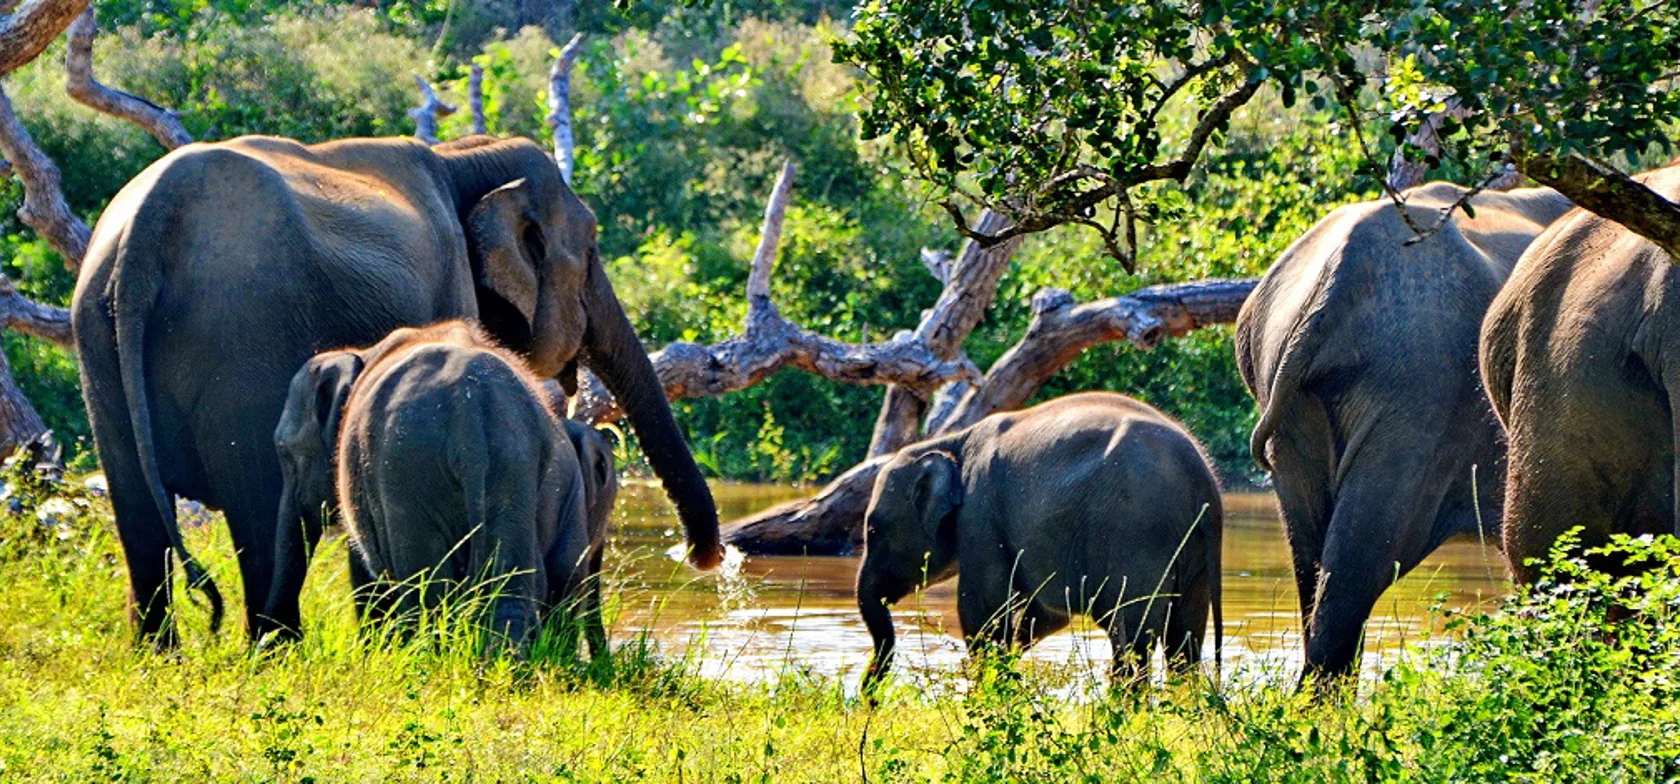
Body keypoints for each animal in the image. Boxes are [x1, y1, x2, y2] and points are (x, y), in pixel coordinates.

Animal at [265, 320, 601, 658]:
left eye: (286, 454)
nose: (282, 645)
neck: (360, 353)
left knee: (426, 582)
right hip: (518, 466)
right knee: (540, 577)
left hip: (405, 471)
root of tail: (476, 409)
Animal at [860, 392, 1229, 688]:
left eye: (873, 531)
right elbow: (1044, 612)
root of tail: (1204, 482)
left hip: (1138, 531)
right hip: (1191, 551)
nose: (867, 701)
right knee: (1184, 638)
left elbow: (983, 607)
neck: (951, 443)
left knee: (1133, 636)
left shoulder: (980, 514)